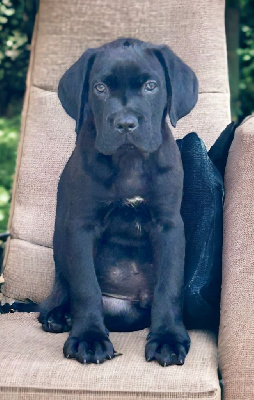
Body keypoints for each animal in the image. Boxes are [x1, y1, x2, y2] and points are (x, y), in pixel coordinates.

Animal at [39, 39, 198, 368]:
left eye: (151, 86)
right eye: (99, 88)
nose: (125, 124)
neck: (129, 161)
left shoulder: (169, 225)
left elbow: (169, 285)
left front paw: (167, 337)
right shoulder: (81, 226)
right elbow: (86, 286)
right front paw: (88, 338)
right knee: (63, 287)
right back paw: (58, 315)